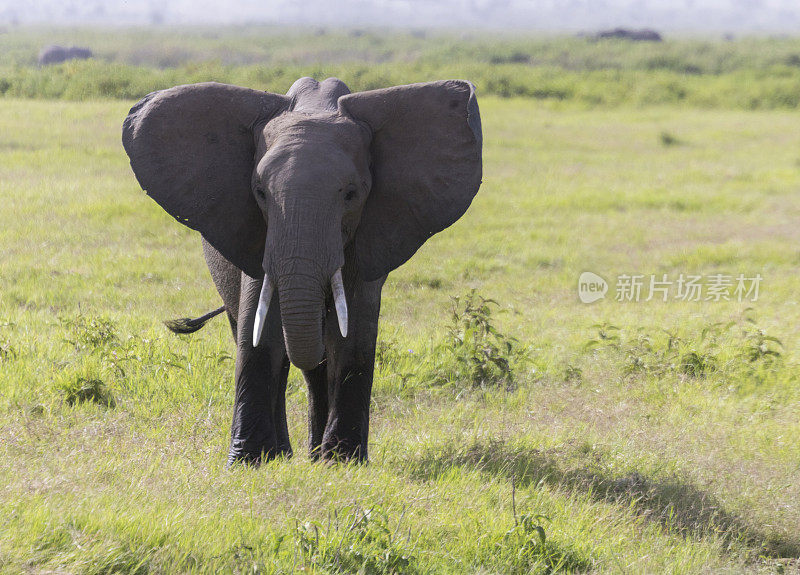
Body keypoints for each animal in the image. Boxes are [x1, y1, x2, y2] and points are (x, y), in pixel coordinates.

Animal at [119, 76, 482, 466]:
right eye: (260, 192)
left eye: (351, 194)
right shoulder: (257, 235)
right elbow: (260, 335)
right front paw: (249, 462)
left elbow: (354, 336)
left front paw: (343, 463)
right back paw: (285, 454)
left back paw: (316, 455)